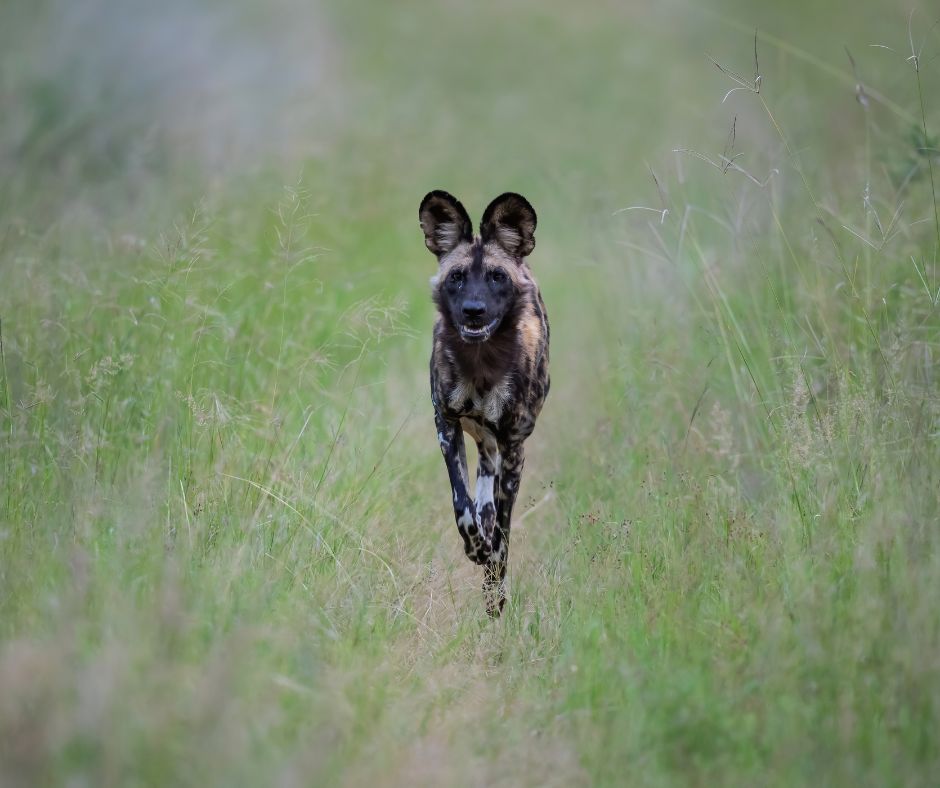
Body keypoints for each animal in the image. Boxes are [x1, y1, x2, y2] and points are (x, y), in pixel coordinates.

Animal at [420, 191, 552, 616]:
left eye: (496, 276)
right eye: (457, 277)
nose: (474, 310)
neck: (481, 363)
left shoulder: (515, 448)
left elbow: (504, 536)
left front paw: (495, 590)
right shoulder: (446, 427)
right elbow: (462, 505)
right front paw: (475, 546)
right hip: (480, 437)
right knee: (481, 488)